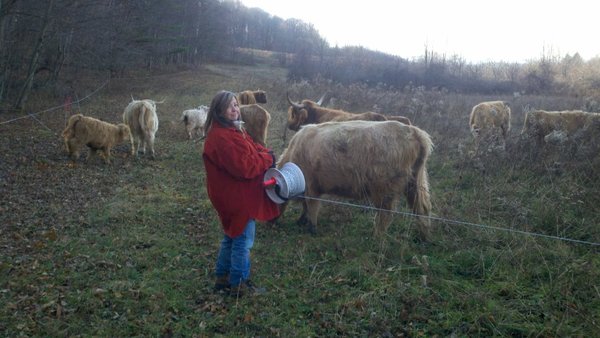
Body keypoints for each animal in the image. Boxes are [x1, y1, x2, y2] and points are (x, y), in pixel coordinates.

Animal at [276, 120, 432, 242]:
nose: (272, 223)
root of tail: (414, 131)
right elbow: (306, 206)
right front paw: (301, 220)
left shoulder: (311, 185)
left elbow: (311, 206)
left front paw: (311, 228)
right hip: (415, 183)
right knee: (421, 208)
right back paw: (423, 237)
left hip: (384, 189)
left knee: (385, 214)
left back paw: (376, 237)